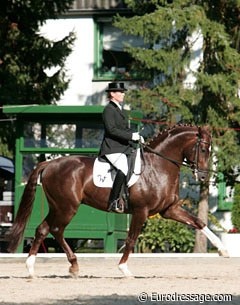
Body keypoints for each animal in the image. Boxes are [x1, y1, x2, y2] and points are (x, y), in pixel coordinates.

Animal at [6, 124, 227, 276]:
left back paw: (41, 267)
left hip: (59, 207)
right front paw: (124, 269)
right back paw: (60, 265)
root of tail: (50, 164)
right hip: (66, 207)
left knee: (45, 229)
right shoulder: (141, 211)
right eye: (204, 149)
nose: (203, 177)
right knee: (54, 230)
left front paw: (223, 250)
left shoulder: (168, 210)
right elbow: (131, 239)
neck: (159, 166)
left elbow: (198, 222)